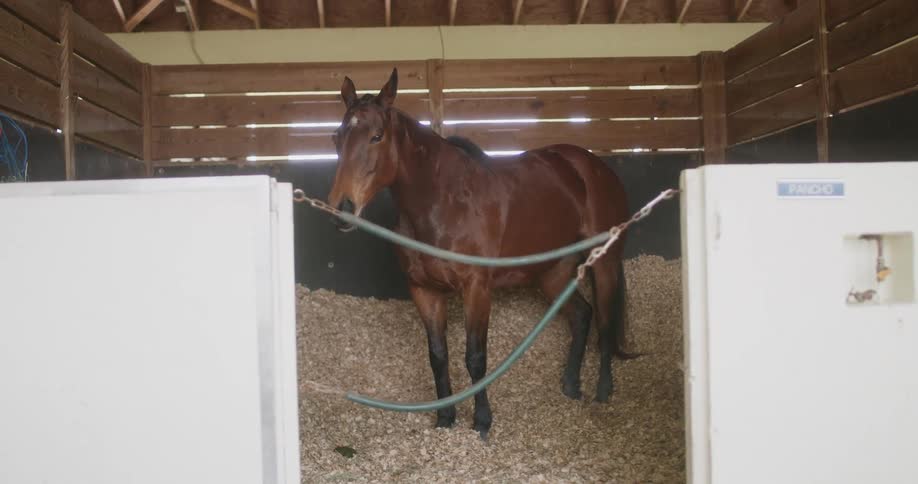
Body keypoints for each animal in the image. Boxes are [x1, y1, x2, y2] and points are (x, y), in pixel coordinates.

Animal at [326, 68, 637, 439]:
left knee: (604, 323)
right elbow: (438, 356)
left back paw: (602, 390)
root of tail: (592, 167)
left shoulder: (476, 289)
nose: (342, 209)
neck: (444, 202)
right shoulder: (424, 291)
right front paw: (445, 418)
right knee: (581, 316)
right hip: (553, 272)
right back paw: (570, 385)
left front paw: (482, 422)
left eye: (377, 136)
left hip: (604, 263)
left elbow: (475, 357)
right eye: (337, 138)